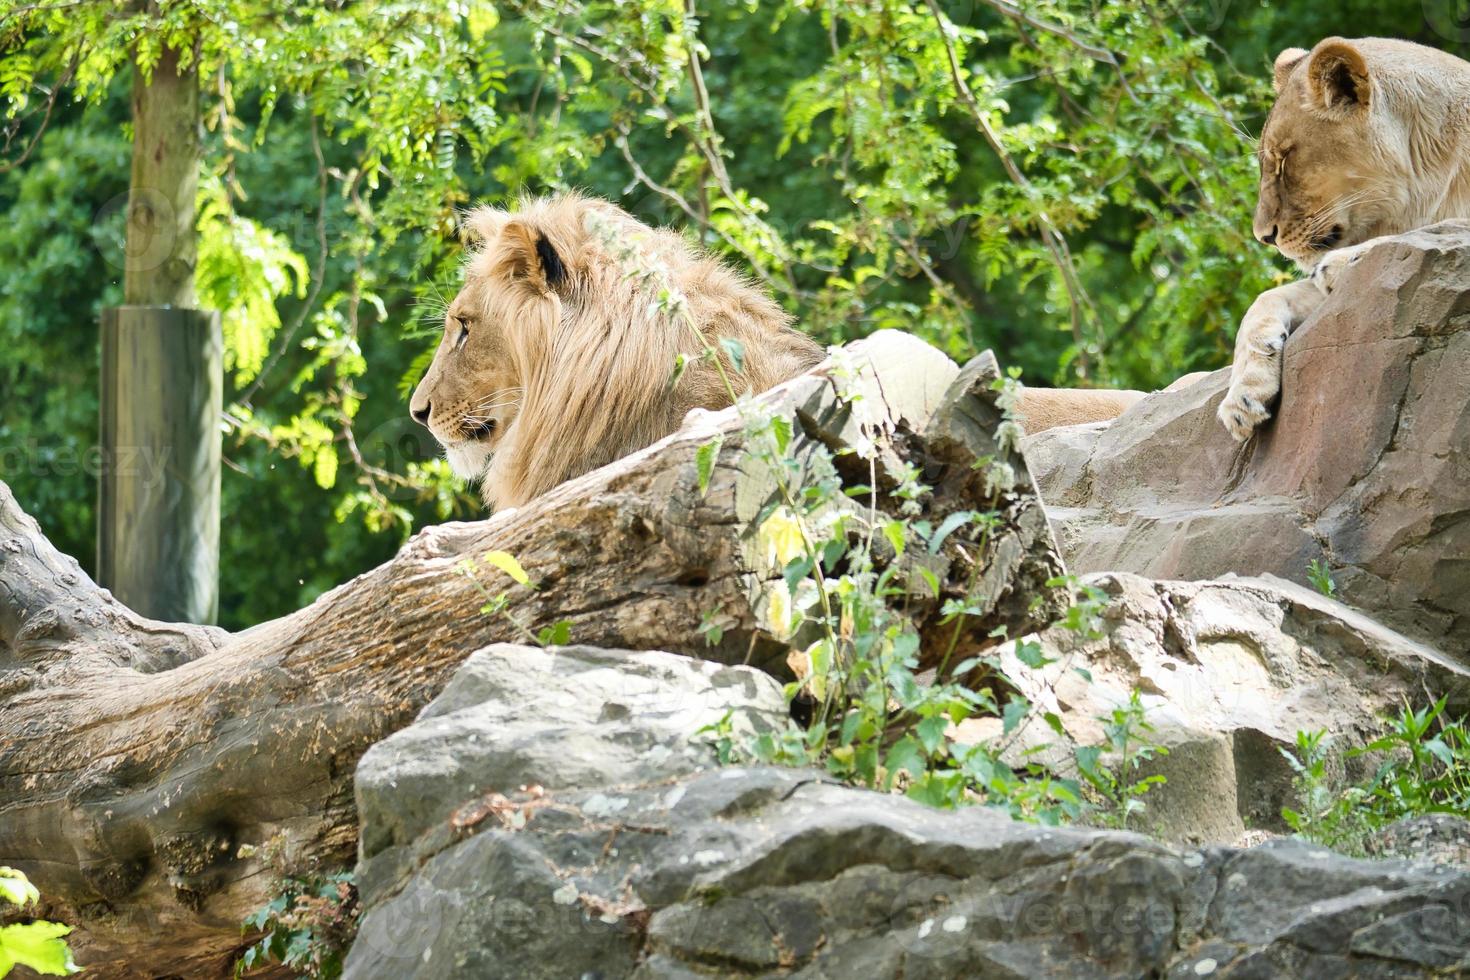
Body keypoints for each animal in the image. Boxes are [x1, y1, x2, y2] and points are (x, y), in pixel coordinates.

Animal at [1217, 34, 1470, 440]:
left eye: (1284, 159)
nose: (1262, 236)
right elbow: (1264, 300)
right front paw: (1243, 395)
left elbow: (1435, 233)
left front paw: (1343, 261)